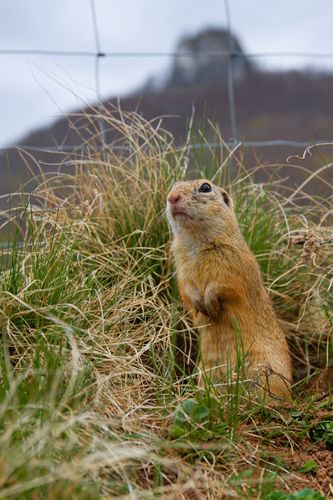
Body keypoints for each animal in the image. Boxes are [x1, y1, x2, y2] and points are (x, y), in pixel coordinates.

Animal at [166, 180, 290, 398]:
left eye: (205, 187)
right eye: (174, 185)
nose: (172, 197)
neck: (196, 242)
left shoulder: (230, 265)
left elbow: (222, 285)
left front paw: (210, 304)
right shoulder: (182, 270)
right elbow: (187, 290)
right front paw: (200, 304)